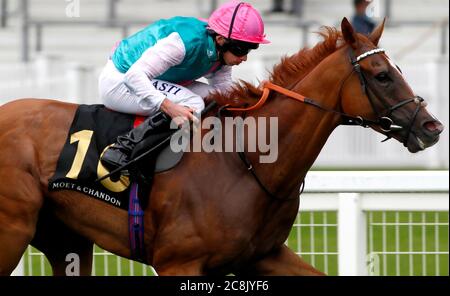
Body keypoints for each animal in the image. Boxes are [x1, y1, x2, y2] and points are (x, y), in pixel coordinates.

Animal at [0, 17, 442, 276]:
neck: (250, 163)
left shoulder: (263, 256)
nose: (432, 127)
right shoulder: (178, 264)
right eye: (382, 75)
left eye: (398, 69)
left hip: (64, 238)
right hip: (14, 228)